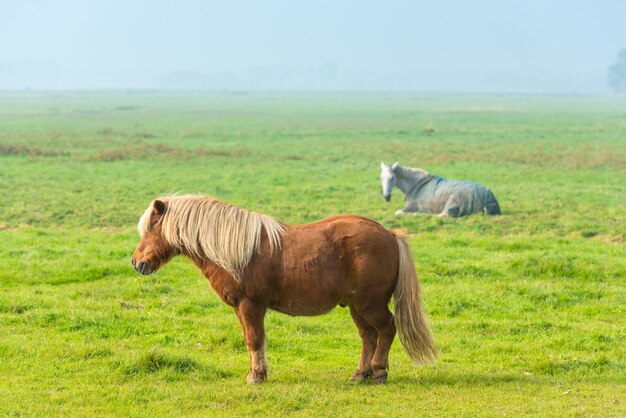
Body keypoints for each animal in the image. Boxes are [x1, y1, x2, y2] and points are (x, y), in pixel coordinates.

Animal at [132, 194, 434, 384]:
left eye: (150, 230)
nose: (136, 262)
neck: (236, 249)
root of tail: (390, 236)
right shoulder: (242, 308)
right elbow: (251, 340)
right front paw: (258, 372)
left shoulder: (250, 305)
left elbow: (254, 339)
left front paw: (256, 376)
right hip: (357, 307)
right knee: (368, 337)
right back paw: (361, 374)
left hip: (370, 304)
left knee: (386, 329)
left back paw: (379, 372)